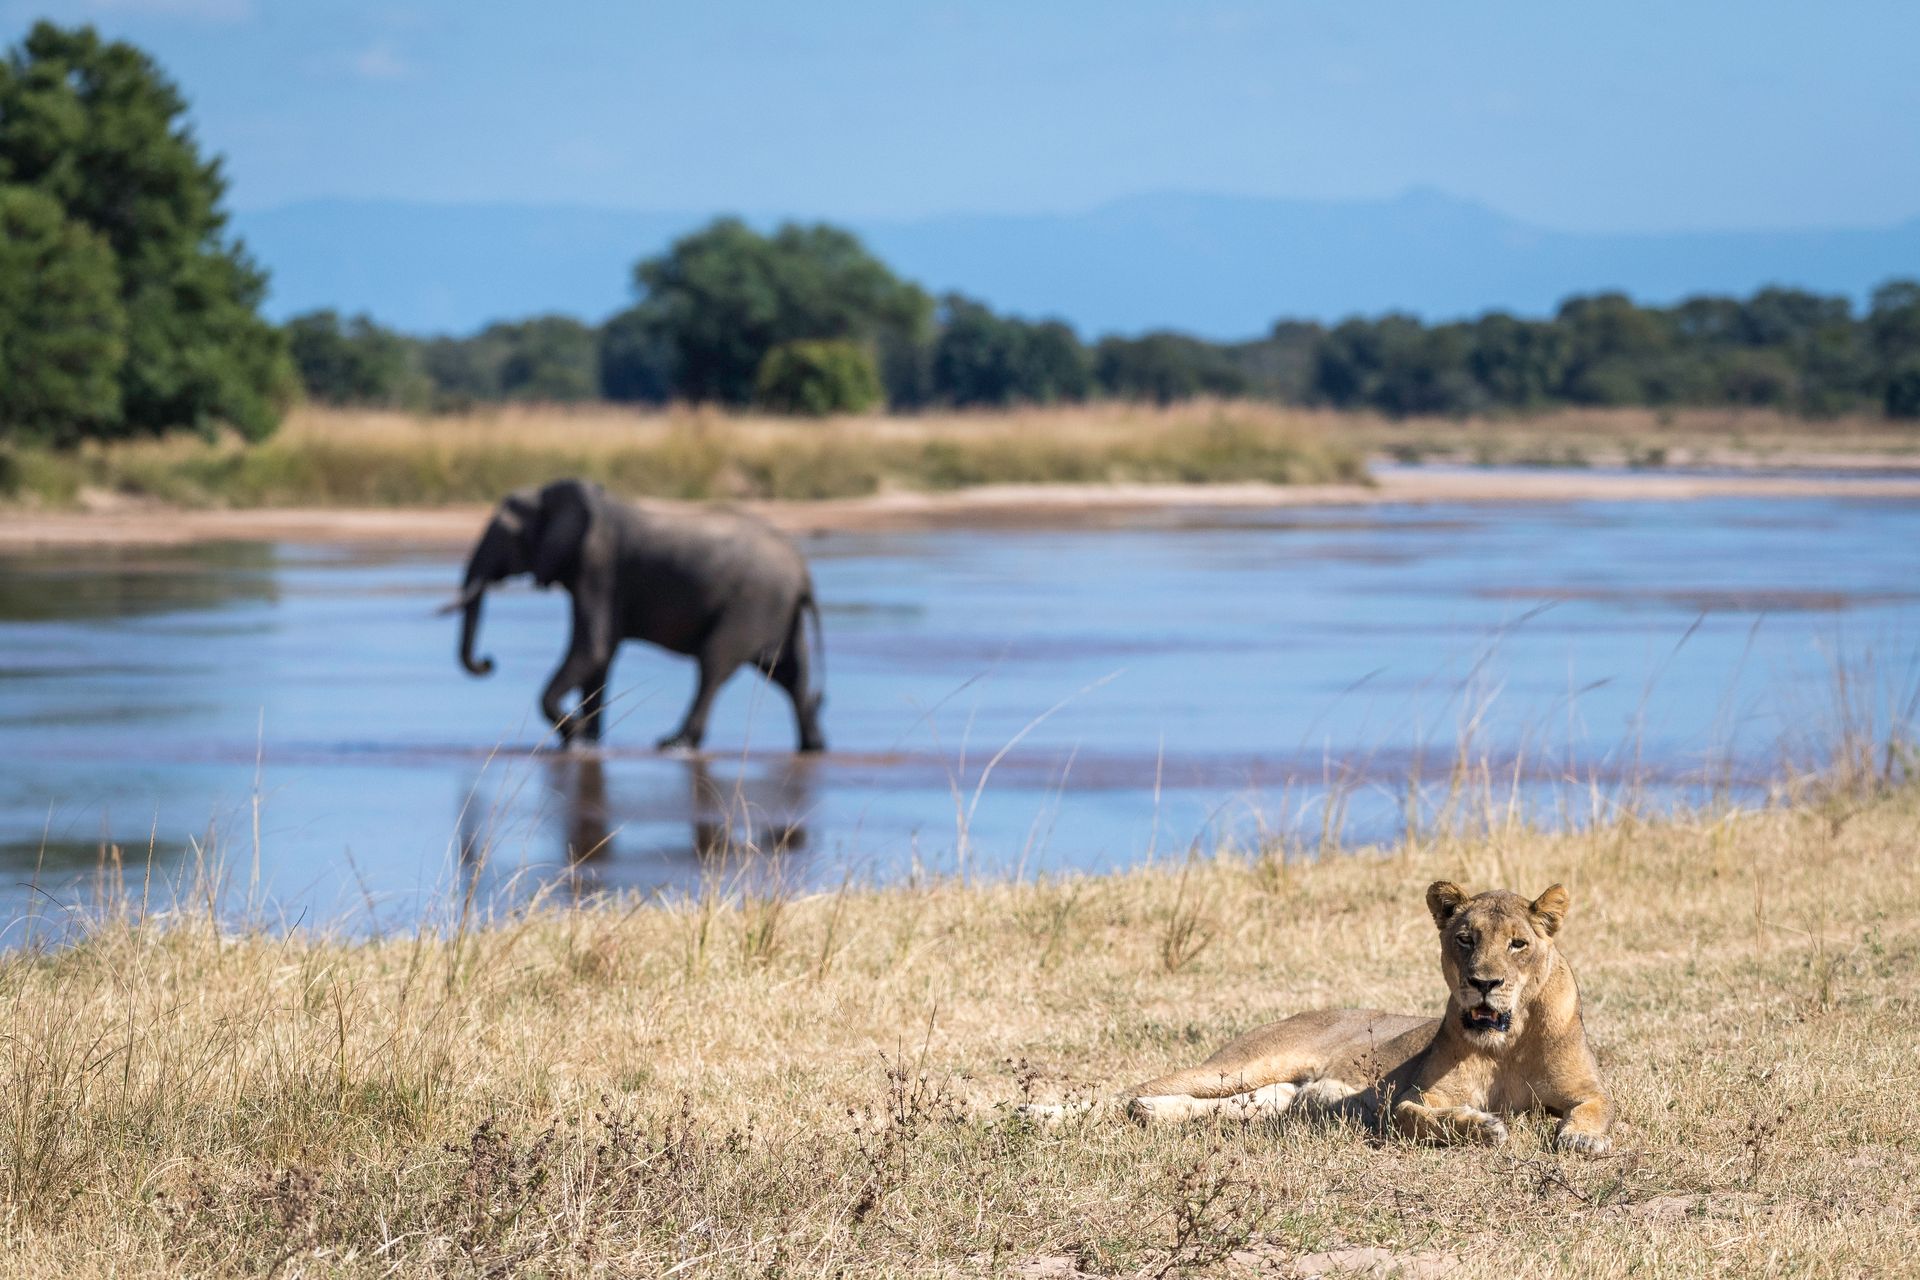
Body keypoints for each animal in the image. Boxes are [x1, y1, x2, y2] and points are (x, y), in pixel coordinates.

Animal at [444, 478, 826, 753]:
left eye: (507, 535)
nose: (487, 662)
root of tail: (803, 572)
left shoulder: (597, 569)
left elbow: (592, 649)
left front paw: (575, 736)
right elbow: (598, 659)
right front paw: (587, 742)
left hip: (753, 601)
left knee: (714, 663)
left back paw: (674, 743)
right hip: (777, 607)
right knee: (788, 673)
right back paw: (813, 746)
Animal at [1023, 881, 1613, 1155]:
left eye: (1517, 944)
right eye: (1465, 939)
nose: (1484, 984)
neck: (1505, 1040)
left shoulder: (1588, 1088)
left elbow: (1595, 1109)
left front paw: (1581, 1140)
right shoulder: (1415, 1098)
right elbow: (1418, 1118)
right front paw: (1483, 1126)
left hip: (1270, 1098)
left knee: (1198, 1108)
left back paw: (1151, 1114)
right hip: (1241, 1065)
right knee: (1126, 1091)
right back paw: (1039, 1114)